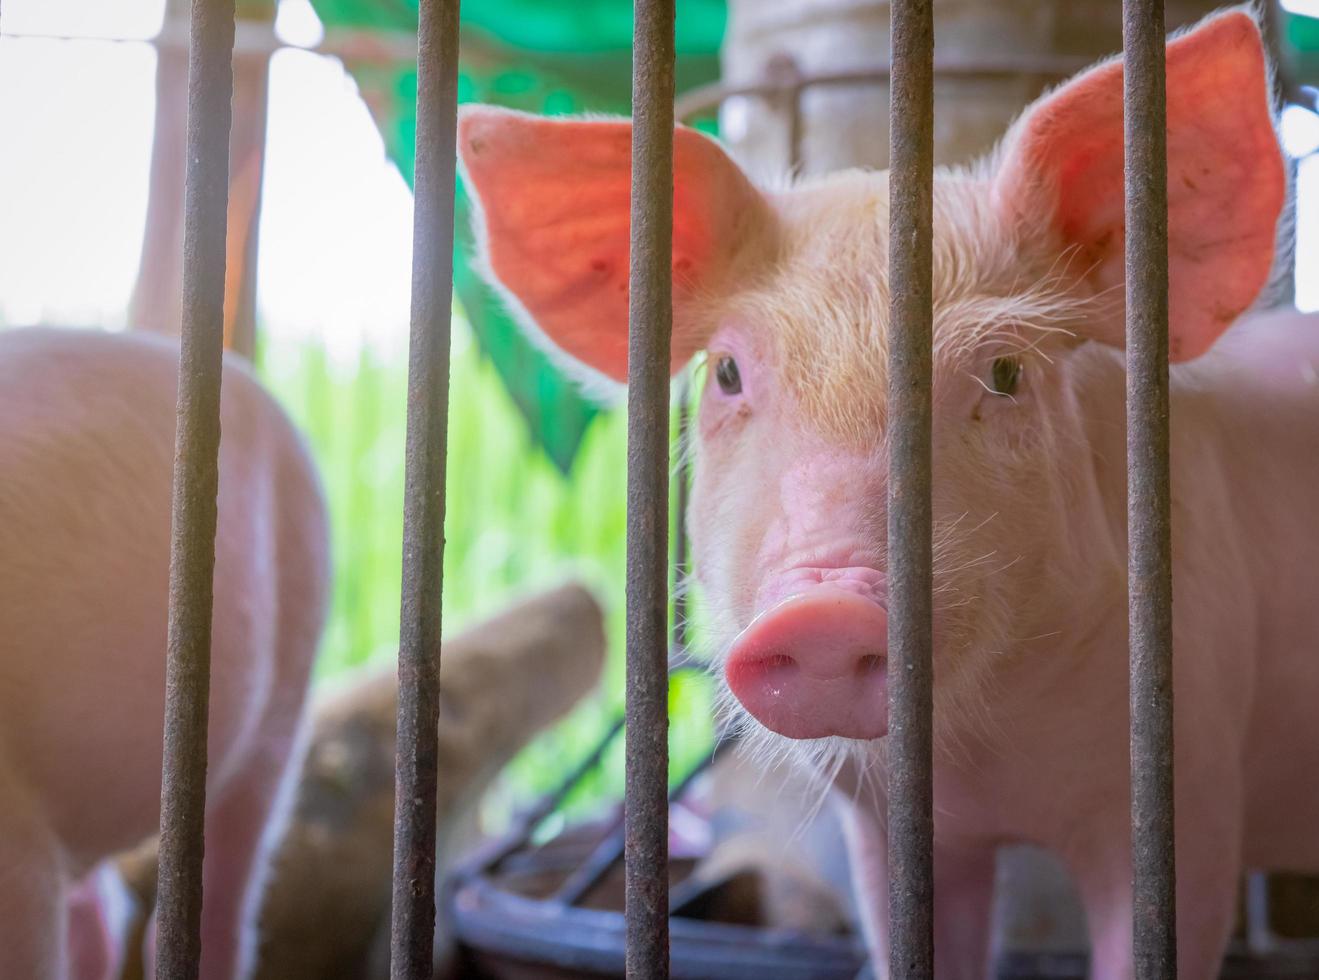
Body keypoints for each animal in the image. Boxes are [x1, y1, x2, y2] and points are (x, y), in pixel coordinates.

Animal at [456, 9, 1319, 980]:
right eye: (726, 373)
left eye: (1005, 372)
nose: (824, 612)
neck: (991, 765)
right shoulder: (881, 827)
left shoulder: (1195, 787)